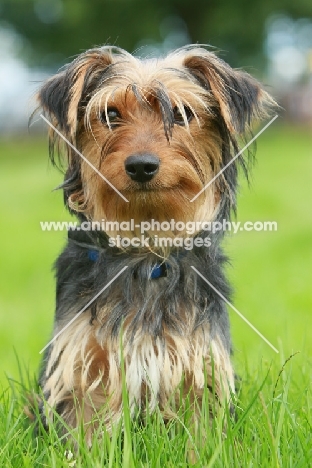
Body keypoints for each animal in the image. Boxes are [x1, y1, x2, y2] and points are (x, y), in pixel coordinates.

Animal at [37, 44, 276, 442]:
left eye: (181, 114)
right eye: (110, 114)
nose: (141, 165)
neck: (147, 252)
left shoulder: (195, 360)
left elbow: (199, 433)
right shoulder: (86, 359)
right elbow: (87, 429)